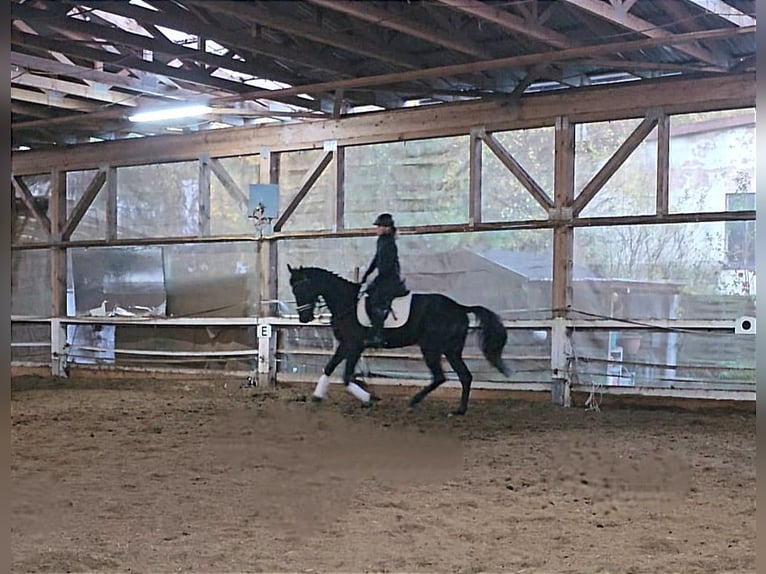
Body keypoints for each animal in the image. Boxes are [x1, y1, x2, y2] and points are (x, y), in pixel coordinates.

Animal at [288, 266, 510, 418]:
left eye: (302, 288)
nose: (304, 319)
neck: (347, 304)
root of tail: (460, 307)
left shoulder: (354, 345)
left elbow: (346, 376)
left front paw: (368, 398)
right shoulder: (347, 345)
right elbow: (330, 368)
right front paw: (318, 396)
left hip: (431, 348)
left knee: (440, 377)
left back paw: (414, 401)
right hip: (451, 350)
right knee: (465, 376)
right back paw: (459, 410)